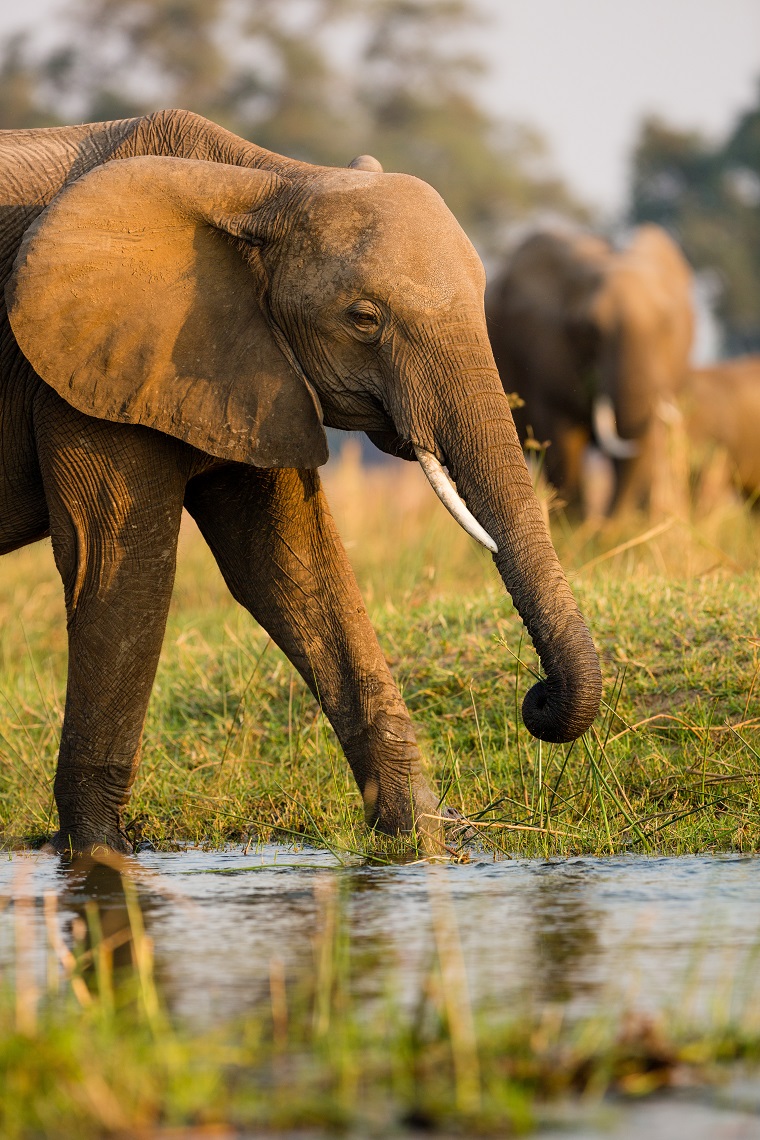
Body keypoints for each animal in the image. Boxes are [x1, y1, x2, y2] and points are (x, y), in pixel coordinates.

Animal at [1, 108, 606, 857]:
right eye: (365, 320)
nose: (538, 700)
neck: (265, 185)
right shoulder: (82, 370)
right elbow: (124, 568)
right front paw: (99, 856)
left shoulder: (252, 366)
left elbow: (293, 572)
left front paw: (427, 844)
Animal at [487, 223, 697, 517]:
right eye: (591, 329)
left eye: (667, 325)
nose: (607, 520)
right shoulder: (545, 350)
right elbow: (563, 440)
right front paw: (576, 524)